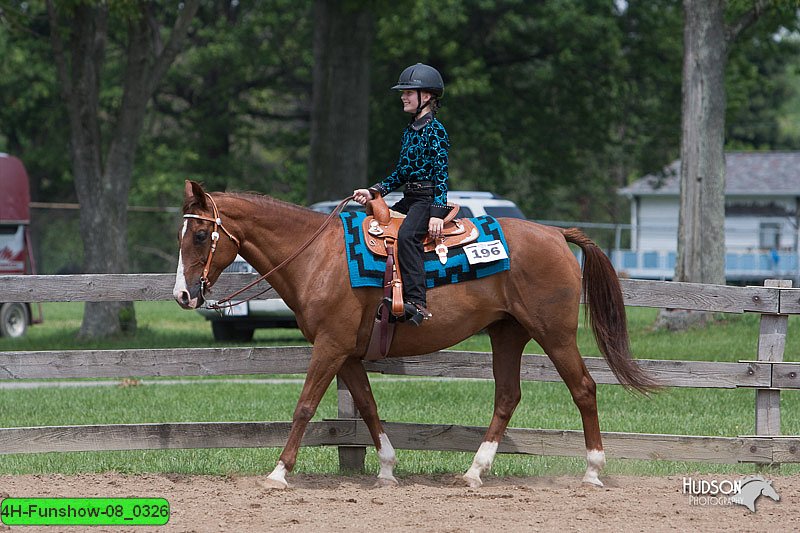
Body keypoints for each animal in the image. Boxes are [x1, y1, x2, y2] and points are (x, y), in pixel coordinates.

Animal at [172, 181, 652, 488]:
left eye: (200, 234)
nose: (183, 294)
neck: (317, 256)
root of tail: (555, 234)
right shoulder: (347, 351)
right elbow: (367, 405)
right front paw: (387, 468)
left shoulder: (329, 345)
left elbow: (305, 405)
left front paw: (279, 472)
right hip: (507, 333)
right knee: (507, 396)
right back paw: (474, 472)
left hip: (554, 333)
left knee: (584, 388)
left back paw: (592, 471)